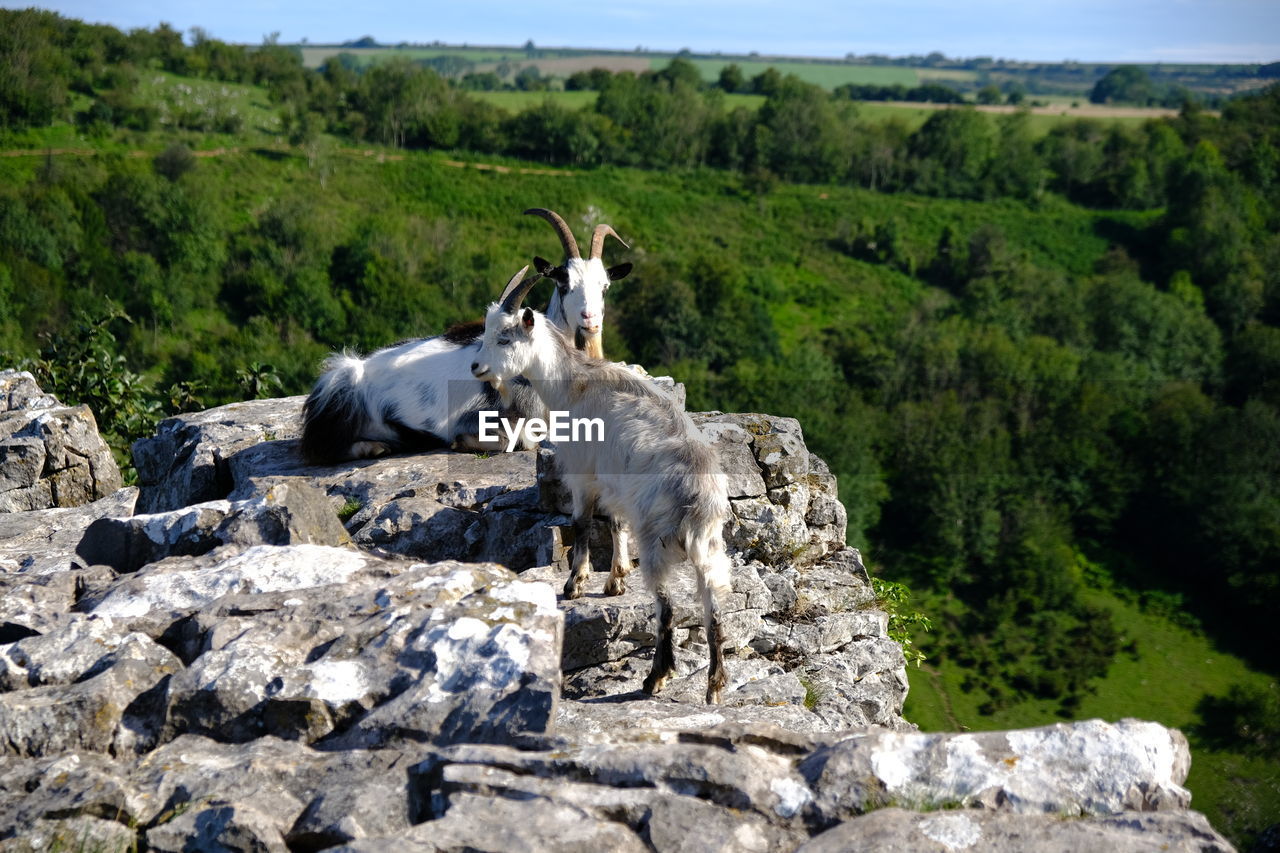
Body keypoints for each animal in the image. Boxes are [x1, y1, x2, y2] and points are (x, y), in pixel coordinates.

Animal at [471, 268, 737, 701]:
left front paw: (575, 584)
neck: (574, 384)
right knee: (713, 606)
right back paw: (714, 686)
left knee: (667, 606)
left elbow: (582, 522)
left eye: (504, 338)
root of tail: (699, 498)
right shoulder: (614, 480)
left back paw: (655, 678)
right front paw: (615, 580)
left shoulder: (583, 470)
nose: (476, 366)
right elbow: (614, 522)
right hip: (712, 548)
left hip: (657, 539)